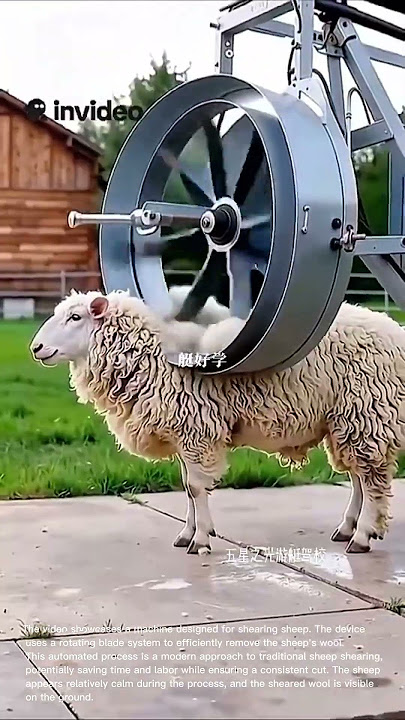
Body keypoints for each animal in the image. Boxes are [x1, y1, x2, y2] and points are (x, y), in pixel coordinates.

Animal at [30, 290, 405, 556]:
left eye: (75, 316)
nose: (36, 348)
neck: (152, 358)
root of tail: (395, 333)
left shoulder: (196, 432)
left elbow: (196, 488)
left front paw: (200, 540)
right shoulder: (183, 434)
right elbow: (186, 487)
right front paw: (187, 534)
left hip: (366, 410)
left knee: (371, 478)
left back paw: (362, 535)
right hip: (347, 419)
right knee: (359, 476)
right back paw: (349, 527)